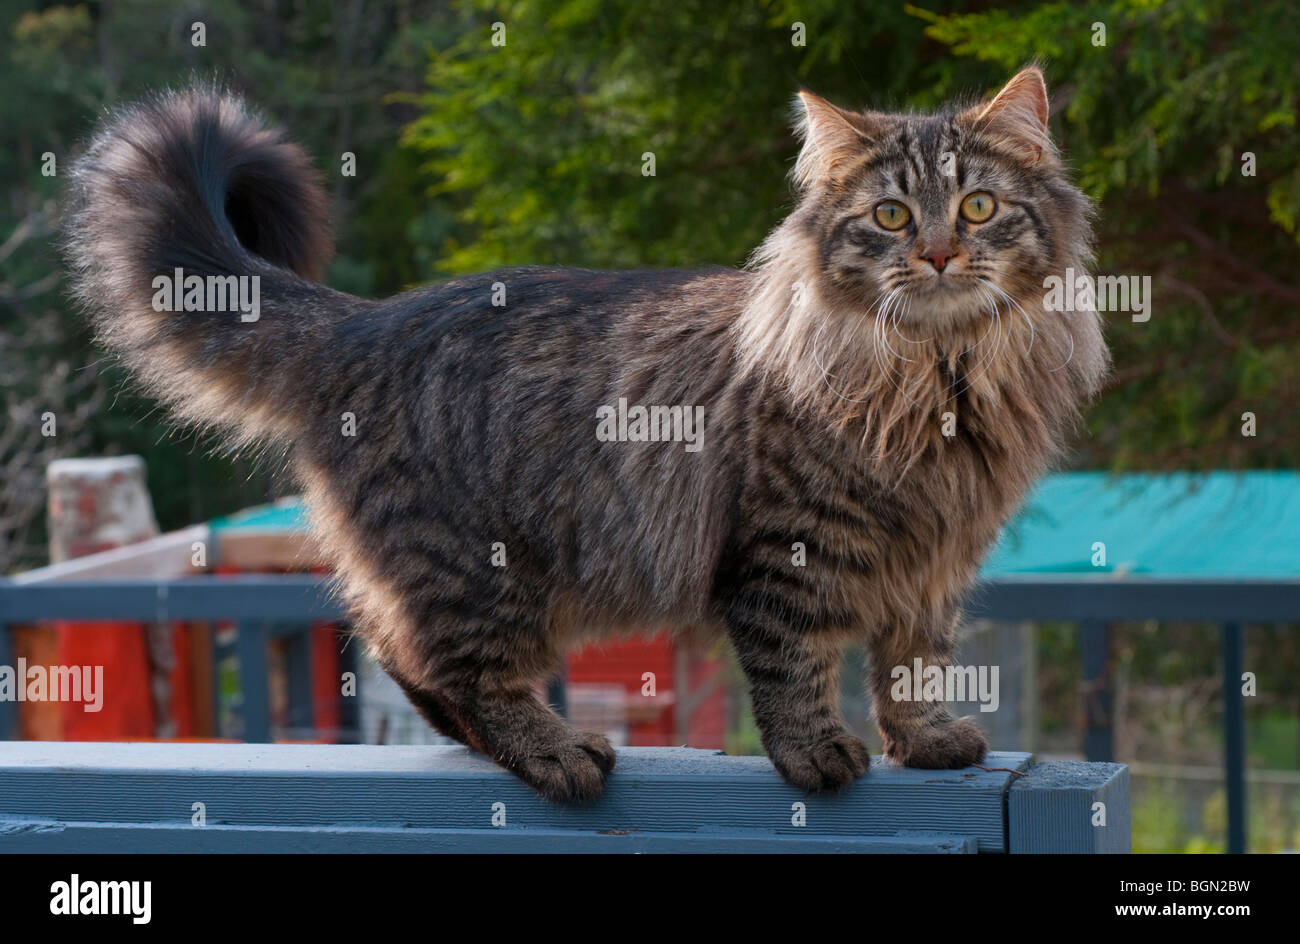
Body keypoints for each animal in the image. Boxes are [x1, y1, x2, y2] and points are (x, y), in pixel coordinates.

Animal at [65, 68, 1107, 806]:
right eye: (890, 216)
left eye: (977, 207)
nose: (937, 253)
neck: (939, 375)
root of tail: (367, 321)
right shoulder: (787, 546)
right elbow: (795, 664)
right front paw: (816, 754)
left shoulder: (937, 559)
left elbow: (913, 660)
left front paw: (924, 740)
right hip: (481, 570)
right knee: (451, 667)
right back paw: (562, 754)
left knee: (406, 658)